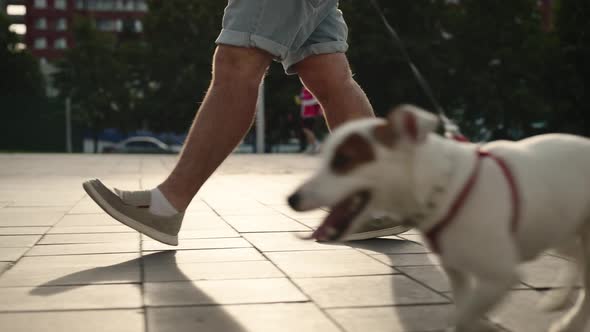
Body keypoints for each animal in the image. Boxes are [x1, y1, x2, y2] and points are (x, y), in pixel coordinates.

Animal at [290, 105, 590, 332]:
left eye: (343, 160)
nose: (292, 199)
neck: (446, 185)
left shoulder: (500, 276)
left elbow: (464, 318)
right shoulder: (457, 272)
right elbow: (463, 309)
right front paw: (483, 323)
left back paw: (569, 321)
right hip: (557, 228)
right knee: (575, 257)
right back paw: (558, 300)